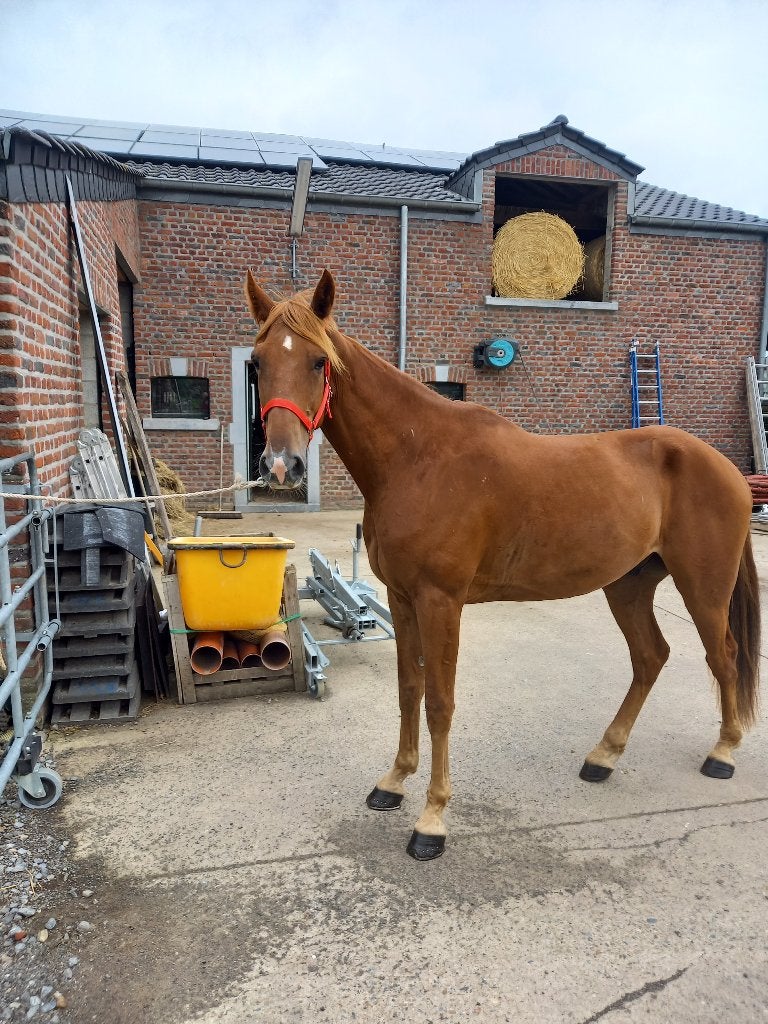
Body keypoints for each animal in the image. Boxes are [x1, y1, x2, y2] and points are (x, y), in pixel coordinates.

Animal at [244, 268, 761, 861]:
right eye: (257, 362)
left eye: (317, 361)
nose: (281, 464)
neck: (417, 459)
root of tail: (725, 467)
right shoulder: (401, 598)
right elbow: (408, 690)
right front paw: (393, 782)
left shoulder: (441, 602)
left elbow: (440, 702)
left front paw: (432, 820)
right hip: (628, 586)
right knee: (651, 657)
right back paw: (603, 756)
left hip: (704, 587)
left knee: (723, 656)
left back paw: (722, 753)